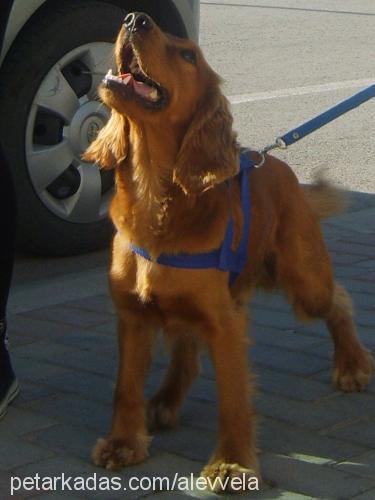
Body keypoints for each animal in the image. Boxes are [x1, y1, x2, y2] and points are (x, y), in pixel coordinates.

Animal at [83, 11, 375, 492]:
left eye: (188, 55)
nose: (135, 18)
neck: (156, 200)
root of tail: (274, 162)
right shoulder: (133, 314)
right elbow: (125, 387)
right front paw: (123, 443)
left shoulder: (225, 324)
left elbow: (233, 400)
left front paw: (232, 465)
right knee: (185, 345)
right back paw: (166, 399)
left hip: (302, 276)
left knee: (338, 300)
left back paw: (351, 364)